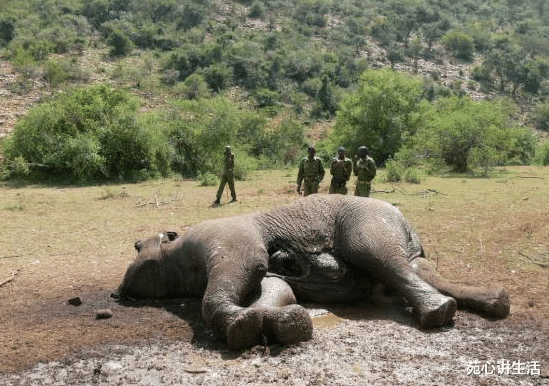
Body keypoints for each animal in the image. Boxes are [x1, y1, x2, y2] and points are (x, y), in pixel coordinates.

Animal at [114, 196, 510, 350]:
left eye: (136, 246)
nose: (117, 294)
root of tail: (402, 217)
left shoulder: (224, 237)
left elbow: (245, 268)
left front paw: (244, 329)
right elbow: (274, 288)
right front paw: (285, 325)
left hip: (366, 220)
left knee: (383, 258)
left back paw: (437, 312)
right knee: (417, 266)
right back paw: (495, 302)